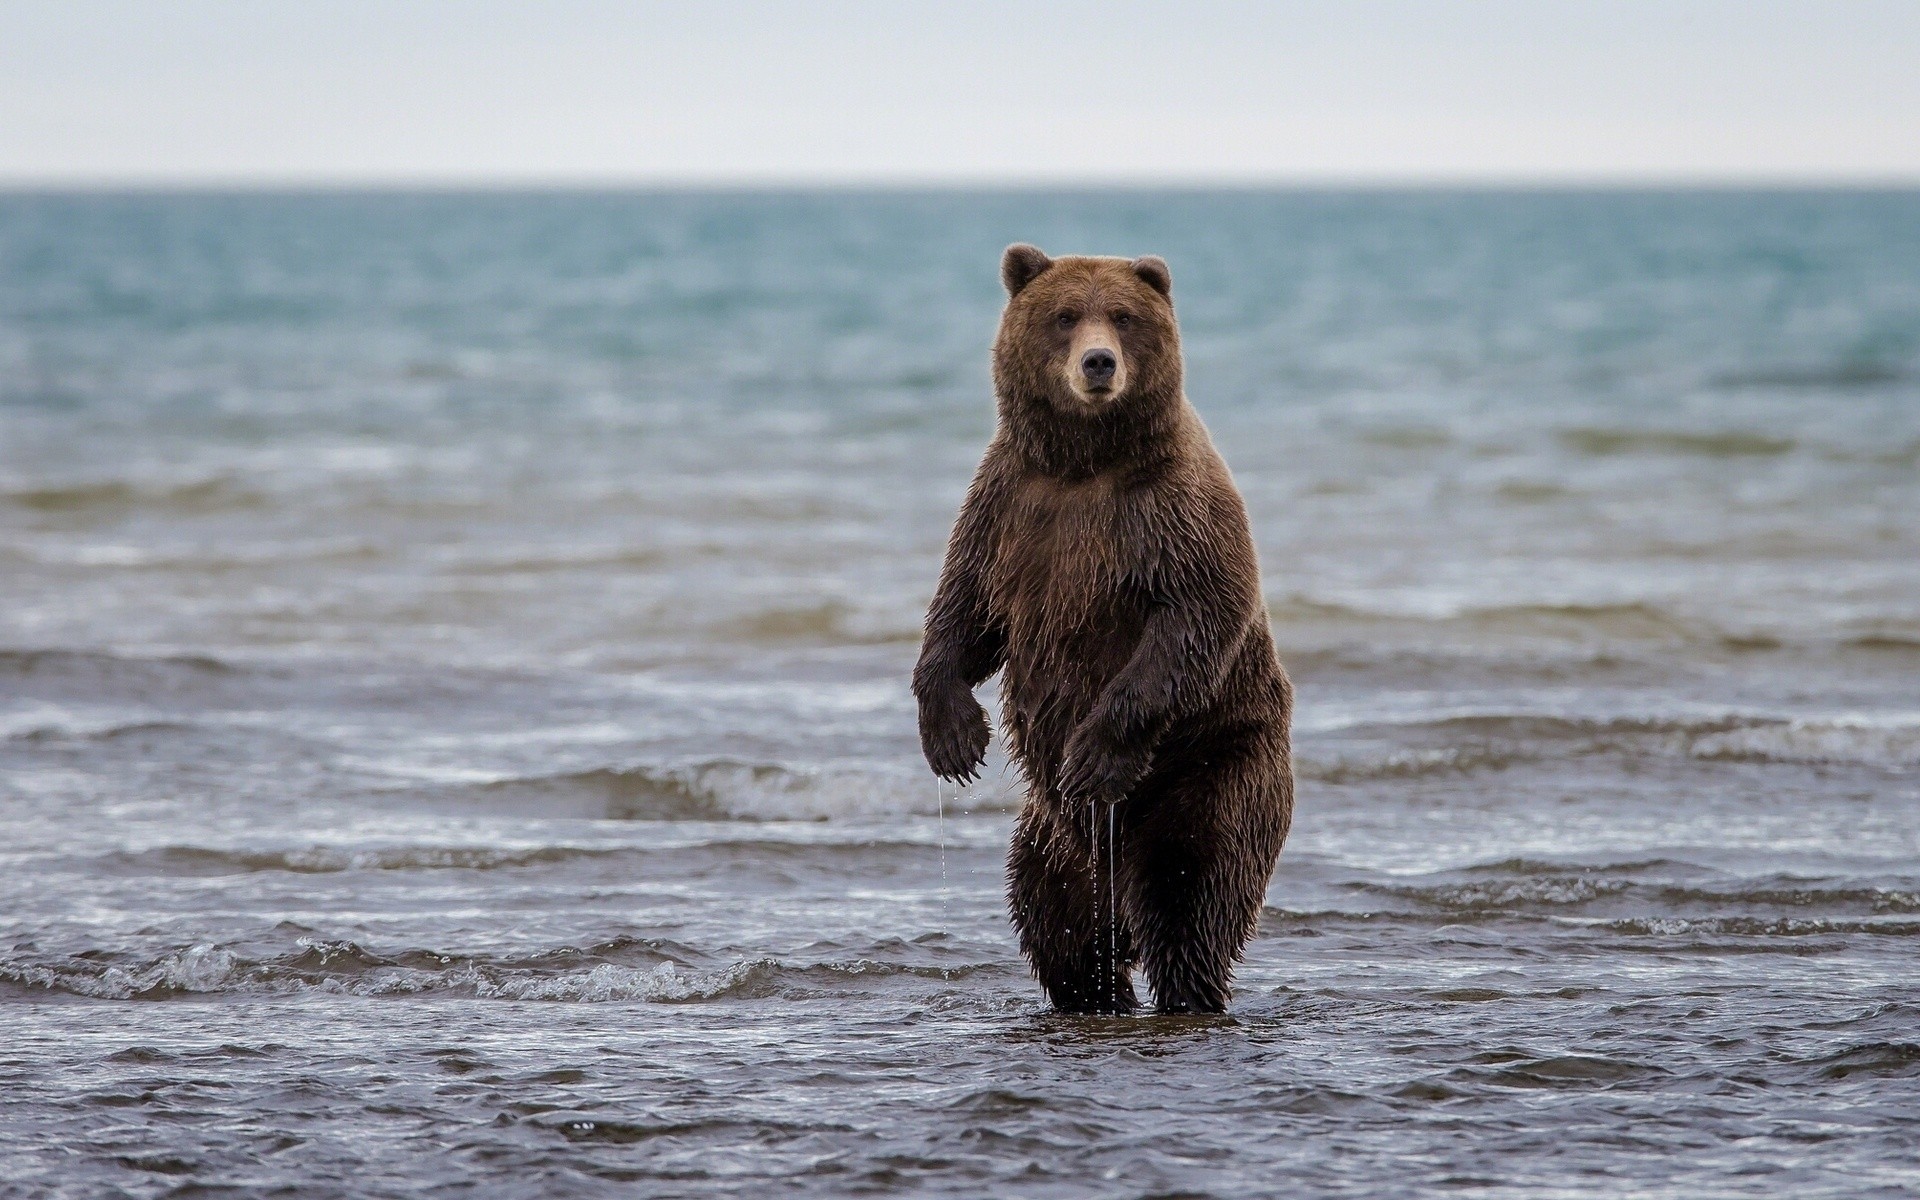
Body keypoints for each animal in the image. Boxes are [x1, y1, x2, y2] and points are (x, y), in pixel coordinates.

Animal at [913, 243, 1294, 1015]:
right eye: (1064, 316)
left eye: (1121, 315)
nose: (1098, 362)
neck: (1083, 463)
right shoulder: (1008, 505)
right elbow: (965, 611)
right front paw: (954, 737)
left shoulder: (1171, 514)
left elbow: (1194, 618)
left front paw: (1093, 753)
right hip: (1051, 841)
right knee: (1056, 924)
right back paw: (1096, 989)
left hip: (1216, 767)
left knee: (1192, 898)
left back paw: (1187, 986)